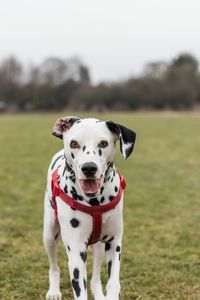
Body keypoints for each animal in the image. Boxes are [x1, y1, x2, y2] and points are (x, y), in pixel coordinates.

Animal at [43, 116, 136, 298]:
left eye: (103, 143)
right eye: (74, 143)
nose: (89, 168)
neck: (95, 202)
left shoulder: (114, 244)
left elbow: (113, 283)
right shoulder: (76, 250)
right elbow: (80, 289)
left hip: (99, 247)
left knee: (95, 278)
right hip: (49, 234)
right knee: (54, 267)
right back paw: (54, 291)